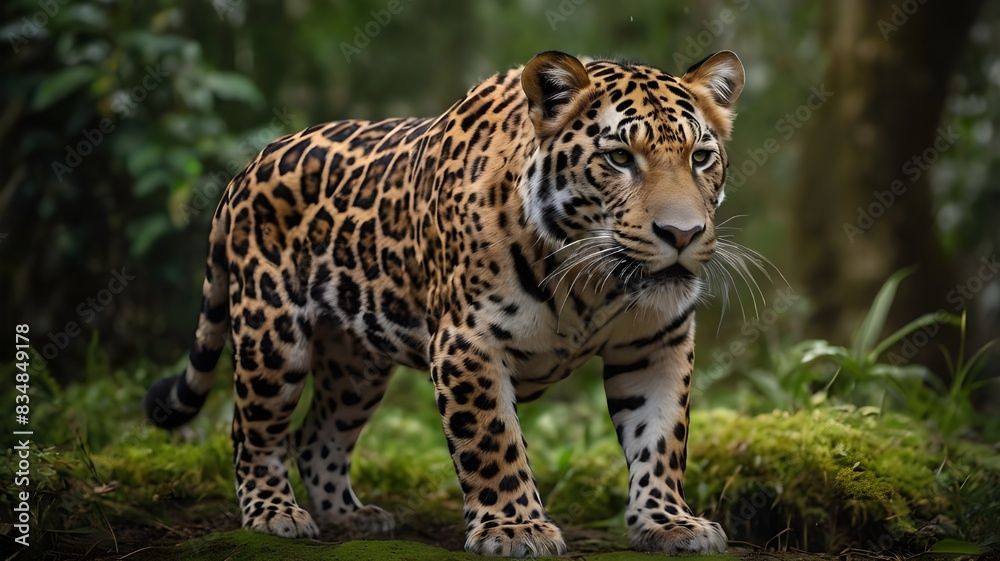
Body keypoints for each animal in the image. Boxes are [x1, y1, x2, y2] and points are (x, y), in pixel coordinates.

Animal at [144, 50, 745, 557]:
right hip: (271, 339)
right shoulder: (468, 342)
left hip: (357, 366)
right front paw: (515, 528)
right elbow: (492, 439)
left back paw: (350, 516)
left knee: (316, 438)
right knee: (254, 432)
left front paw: (668, 522)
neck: (591, 285)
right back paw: (274, 515)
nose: (683, 234)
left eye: (701, 157)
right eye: (619, 157)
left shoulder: (655, 345)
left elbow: (660, 439)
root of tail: (247, 168)